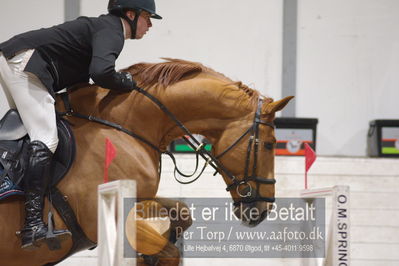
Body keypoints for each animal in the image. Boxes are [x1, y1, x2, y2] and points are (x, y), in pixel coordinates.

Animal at [0, 59, 294, 264]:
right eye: (270, 144)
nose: (263, 209)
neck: (123, 126)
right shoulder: (106, 216)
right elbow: (169, 251)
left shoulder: (141, 198)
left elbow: (181, 213)